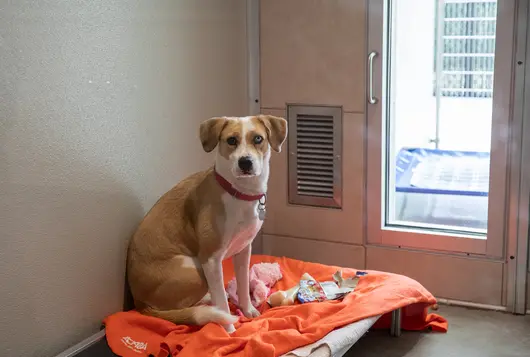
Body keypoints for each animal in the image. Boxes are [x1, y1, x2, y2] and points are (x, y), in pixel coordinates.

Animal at [126, 114, 286, 330]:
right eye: (231, 140)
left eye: (258, 139)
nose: (245, 162)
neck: (238, 192)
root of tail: (140, 304)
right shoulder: (211, 260)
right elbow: (223, 305)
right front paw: (229, 329)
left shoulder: (244, 250)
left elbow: (244, 285)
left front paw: (248, 310)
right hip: (195, 270)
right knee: (186, 305)